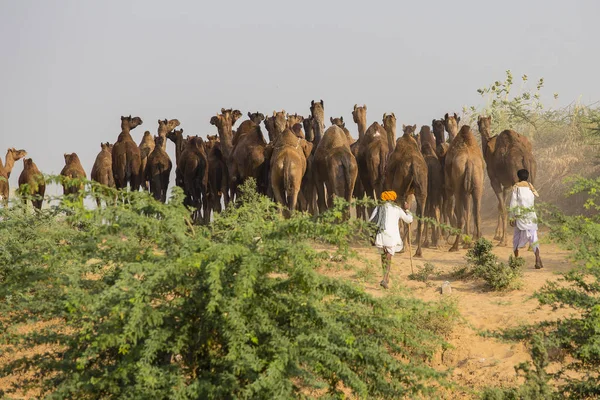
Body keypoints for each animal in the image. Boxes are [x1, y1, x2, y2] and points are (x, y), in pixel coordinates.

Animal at [386, 123, 428, 258]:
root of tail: (413, 165)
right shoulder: (410, 193)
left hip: (401, 192)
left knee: (405, 217)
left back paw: (403, 247)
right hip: (421, 192)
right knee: (419, 218)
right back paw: (418, 251)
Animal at [478, 115, 536, 245]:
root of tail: (524, 156)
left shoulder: (494, 180)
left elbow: (503, 207)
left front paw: (502, 239)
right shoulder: (507, 185)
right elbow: (501, 205)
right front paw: (498, 235)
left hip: (516, 177)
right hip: (532, 176)